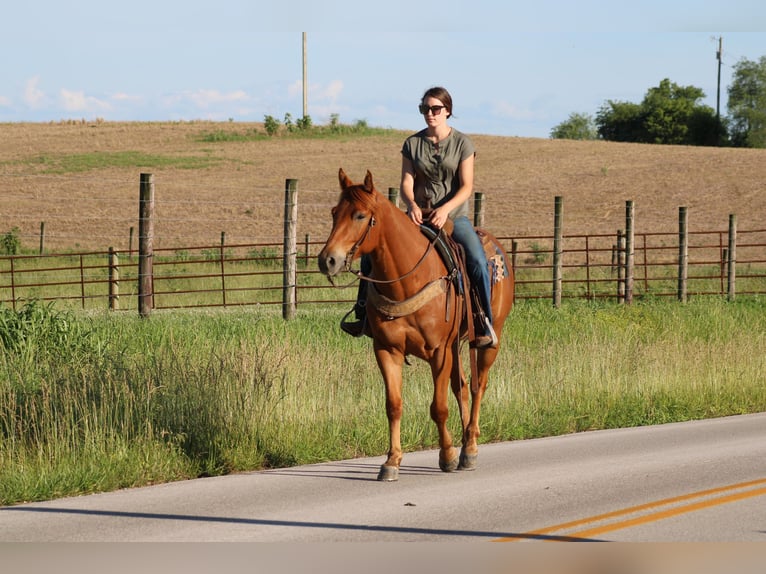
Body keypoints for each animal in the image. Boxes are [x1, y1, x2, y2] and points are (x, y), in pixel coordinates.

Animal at [318, 169, 514, 481]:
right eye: (335, 212)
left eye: (360, 215)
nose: (328, 260)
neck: (406, 278)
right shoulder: (387, 350)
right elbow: (394, 405)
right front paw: (392, 461)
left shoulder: (440, 352)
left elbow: (439, 407)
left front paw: (447, 456)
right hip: (456, 348)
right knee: (461, 387)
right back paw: (464, 444)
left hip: (488, 343)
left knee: (478, 386)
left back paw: (470, 448)